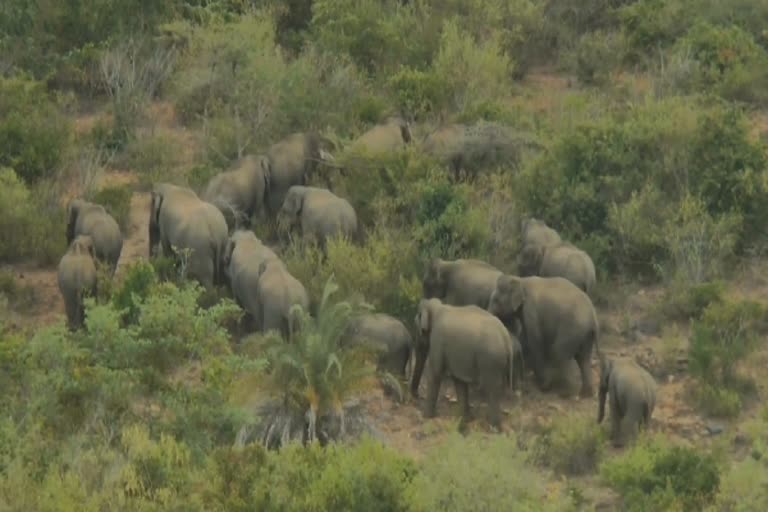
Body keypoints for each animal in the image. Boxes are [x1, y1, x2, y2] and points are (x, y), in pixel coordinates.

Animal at [412, 298, 520, 430]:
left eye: (417, 330)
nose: (417, 395)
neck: (438, 307)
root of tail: (506, 337)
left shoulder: (438, 339)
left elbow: (435, 373)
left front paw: (426, 417)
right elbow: (459, 382)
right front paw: (466, 419)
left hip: (490, 360)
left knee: (492, 388)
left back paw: (494, 428)